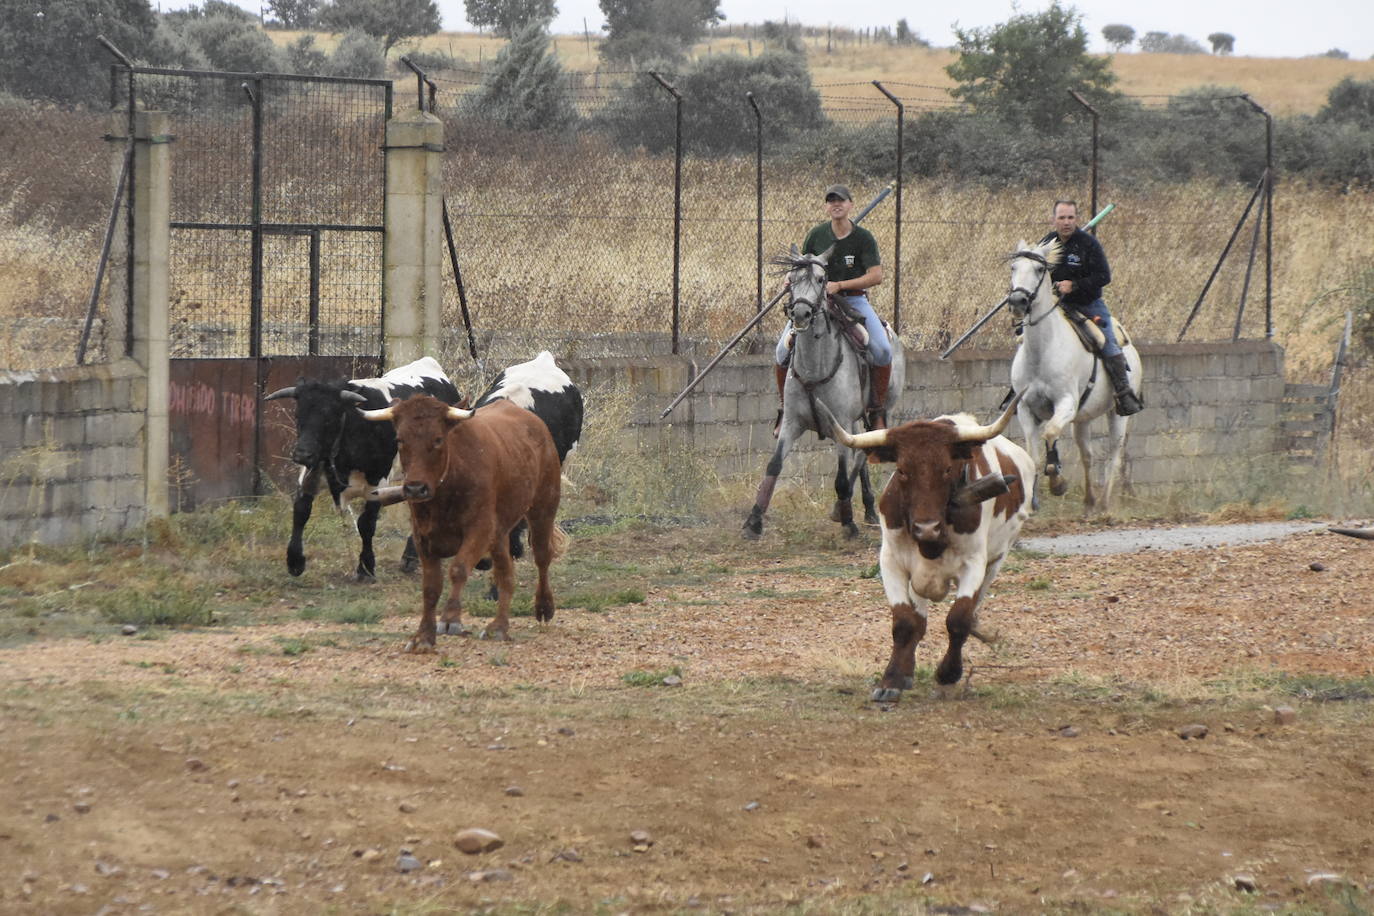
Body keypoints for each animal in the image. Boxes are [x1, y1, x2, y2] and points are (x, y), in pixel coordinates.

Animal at [262, 357, 461, 579]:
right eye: (298, 416)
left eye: (330, 418)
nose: (302, 454)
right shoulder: (310, 473)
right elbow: (301, 511)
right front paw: (295, 560)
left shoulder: (377, 482)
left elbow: (366, 524)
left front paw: (366, 567)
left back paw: (411, 557)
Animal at [362, 395, 566, 650]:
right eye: (400, 439)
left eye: (438, 439)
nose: (416, 488)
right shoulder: (423, 538)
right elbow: (430, 587)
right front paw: (423, 636)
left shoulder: (479, 530)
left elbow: (458, 569)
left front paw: (450, 619)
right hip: (499, 534)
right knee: (505, 573)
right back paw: (499, 627)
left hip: (543, 508)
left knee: (542, 556)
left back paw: (544, 606)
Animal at [747, 247, 906, 541]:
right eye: (791, 279)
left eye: (822, 279)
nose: (801, 313)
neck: (814, 367)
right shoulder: (792, 424)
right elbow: (773, 466)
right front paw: (753, 521)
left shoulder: (840, 423)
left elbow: (841, 477)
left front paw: (848, 523)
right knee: (860, 452)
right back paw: (866, 508)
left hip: (881, 409)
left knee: (863, 450)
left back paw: (844, 510)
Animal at [818, 398, 1033, 708]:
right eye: (902, 470)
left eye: (947, 469)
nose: (926, 528)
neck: (932, 544)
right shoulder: (891, 562)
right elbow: (905, 623)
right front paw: (892, 681)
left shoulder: (974, 564)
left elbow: (959, 620)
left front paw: (948, 674)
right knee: (918, 620)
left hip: (996, 560)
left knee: (971, 610)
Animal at [1005, 240, 1143, 516]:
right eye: (1014, 267)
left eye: (1039, 268)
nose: (1017, 301)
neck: (1042, 350)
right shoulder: (1026, 409)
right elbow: (1033, 454)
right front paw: (1032, 502)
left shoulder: (1066, 403)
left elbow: (1050, 433)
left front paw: (1057, 482)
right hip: (1083, 419)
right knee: (1087, 455)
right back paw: (1089, 503)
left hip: (1117, 415)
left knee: (1113, 456)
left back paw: (1104, 505)